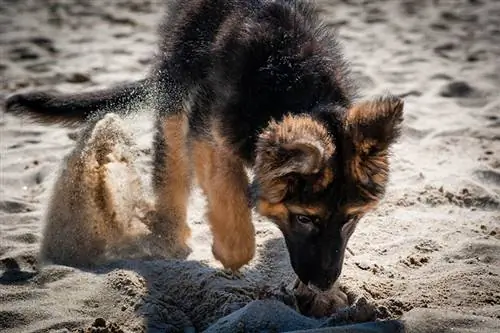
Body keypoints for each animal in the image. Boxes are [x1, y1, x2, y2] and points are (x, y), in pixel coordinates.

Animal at [3, 0, 404, 290]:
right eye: (305, 217)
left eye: (350, 219)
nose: (322, 285)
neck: (295, 86)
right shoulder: (208, 129)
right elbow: (228, 195)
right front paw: (230, 252)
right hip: (177, 94)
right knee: (172, 167)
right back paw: (169, 233)